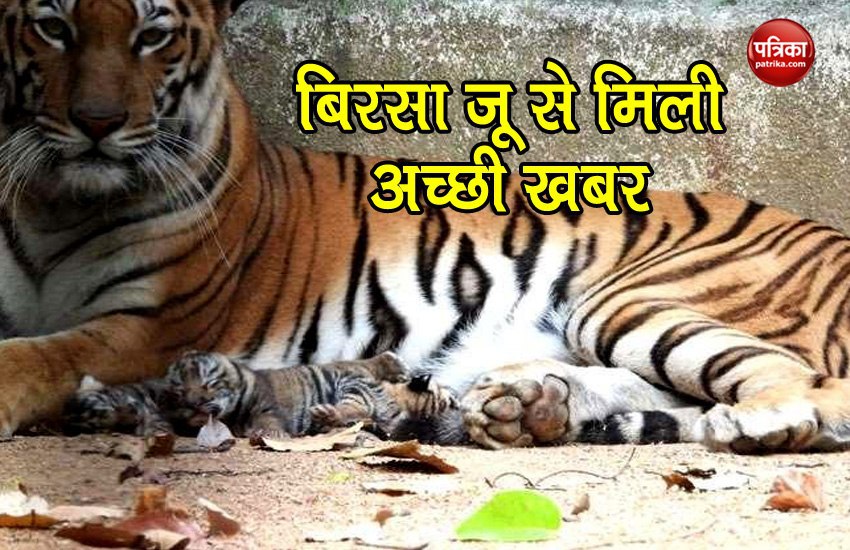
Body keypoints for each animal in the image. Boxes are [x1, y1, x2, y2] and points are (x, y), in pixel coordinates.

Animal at [0, 0, 849, 455]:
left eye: (152, 35)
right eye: (52, 26)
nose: (98, 123)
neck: (54, 199)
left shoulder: (152, 326)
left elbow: (36, 358)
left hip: (633, 298)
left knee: (802, 383)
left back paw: (760, 421)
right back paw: (525, 403)